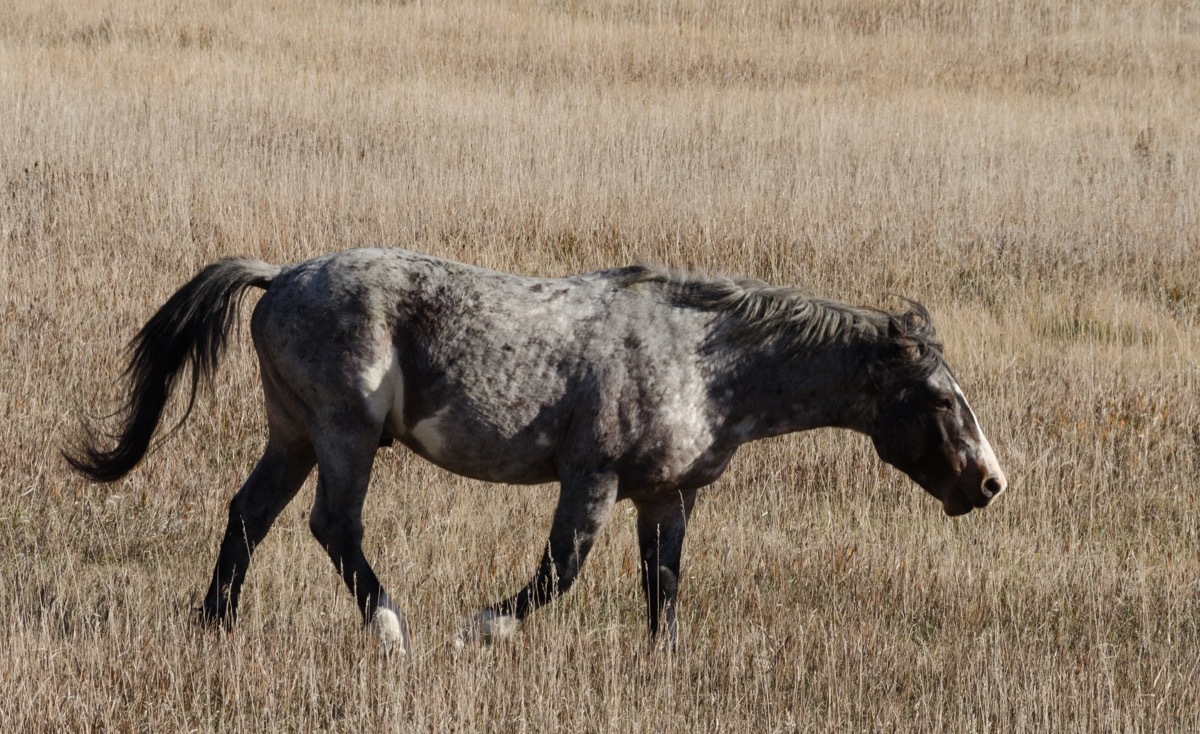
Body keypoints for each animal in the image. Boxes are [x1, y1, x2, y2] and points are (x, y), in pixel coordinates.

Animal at [65, 248, 1007, 654]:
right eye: (938, 397)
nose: (990, 483)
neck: (702, 362)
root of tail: (280, 274)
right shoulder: (591, 479)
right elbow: (562, 571)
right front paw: (480, 628)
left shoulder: (668, 495)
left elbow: (662, 586)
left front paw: (664, 667)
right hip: (344, 434)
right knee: (333, 527)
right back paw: (392, 629)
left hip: (294, 433)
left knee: (250, 515)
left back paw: (215, 624)